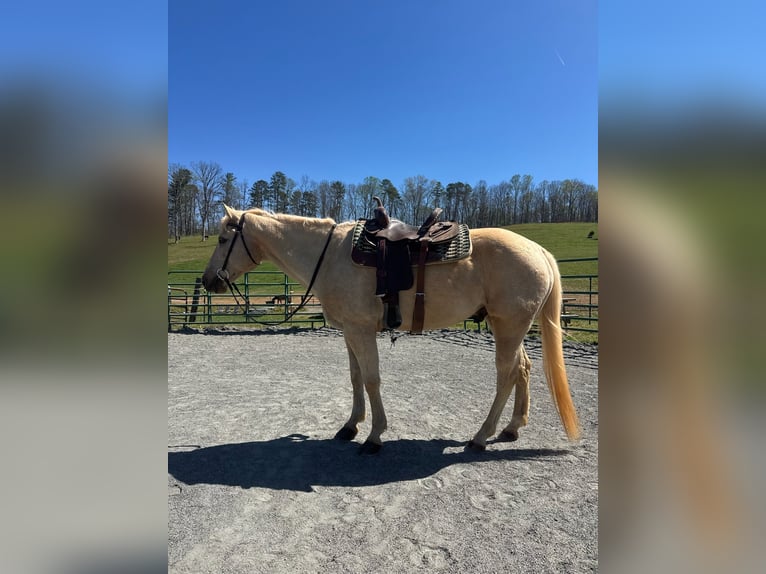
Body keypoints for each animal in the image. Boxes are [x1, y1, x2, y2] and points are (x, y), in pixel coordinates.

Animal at [201, 204, 580, 453]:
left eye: (221, 239)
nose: (208, 281)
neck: (330, 256)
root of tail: (538, 250)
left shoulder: (361, 330)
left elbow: (371, 379)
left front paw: (374, 436)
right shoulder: (350, 331)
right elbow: (355, 377)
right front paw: (350, 426)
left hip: (509, 326)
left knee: (507, 374)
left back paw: (481, 436)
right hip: (510, 327)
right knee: (524, 369)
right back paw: (512, 428)